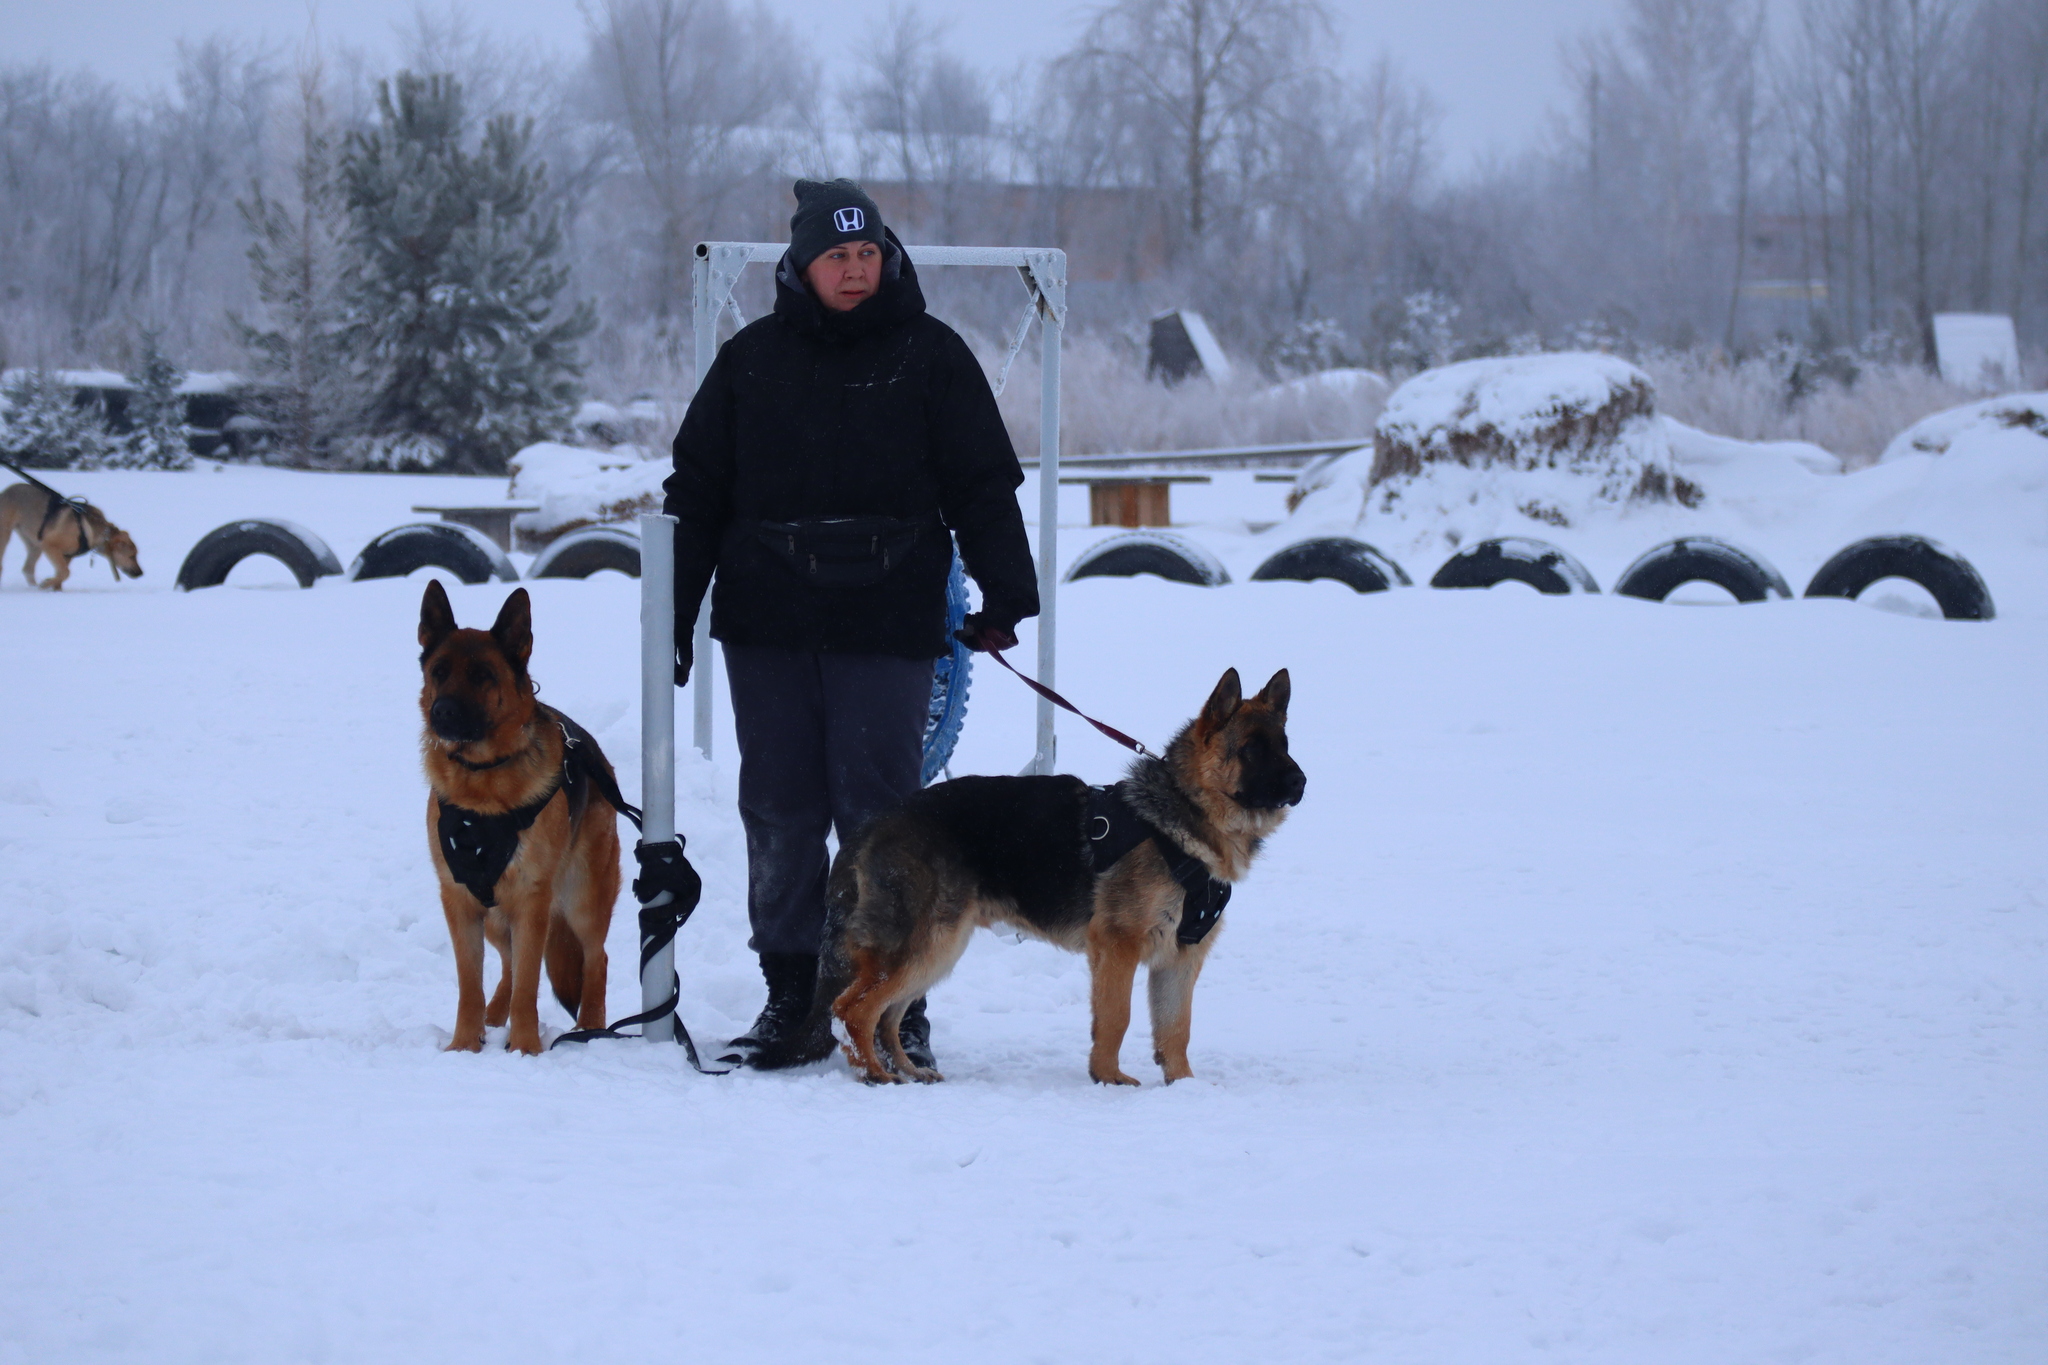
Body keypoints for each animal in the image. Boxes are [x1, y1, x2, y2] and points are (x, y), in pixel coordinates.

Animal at [1, 480, 143, 589]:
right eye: (132, 556)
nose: (141, 573)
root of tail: (6, 491)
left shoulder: (67, 555)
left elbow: (62, 574)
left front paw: (55, 589)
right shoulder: (50, 546)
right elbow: (65, 572)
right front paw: (46, 584)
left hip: (34, 543)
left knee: (27, 569)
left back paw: (33, 587)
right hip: (7, 533)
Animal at [409, 581, 614, 1055]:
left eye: (483, 676)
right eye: (439, 671)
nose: (442, 712)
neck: (482, 777)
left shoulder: (531, 899)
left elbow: (529, 984)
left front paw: (524, 1047)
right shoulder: (460, 899)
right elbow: (471, 983)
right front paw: (464, 1044)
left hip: (581, 898)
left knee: (595, 958)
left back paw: (589, 1028)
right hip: (495, 915)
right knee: (506, 964)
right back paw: (492, 1017)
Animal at [778, 667, 1294, 1080]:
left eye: (1285, 747)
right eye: (1251, 750)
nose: (1301, 782)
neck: (1181, 815)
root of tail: (874, 823)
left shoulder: (1181, 958)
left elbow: (1175, 1030)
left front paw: (1183, 1087)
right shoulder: (1118, 946)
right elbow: (1117, 1018)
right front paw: (1109, 1079)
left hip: (938, 949)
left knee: (886, 1017)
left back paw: (908, 1071)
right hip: (926, 945)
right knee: (851, 1011)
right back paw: (875, 1076)